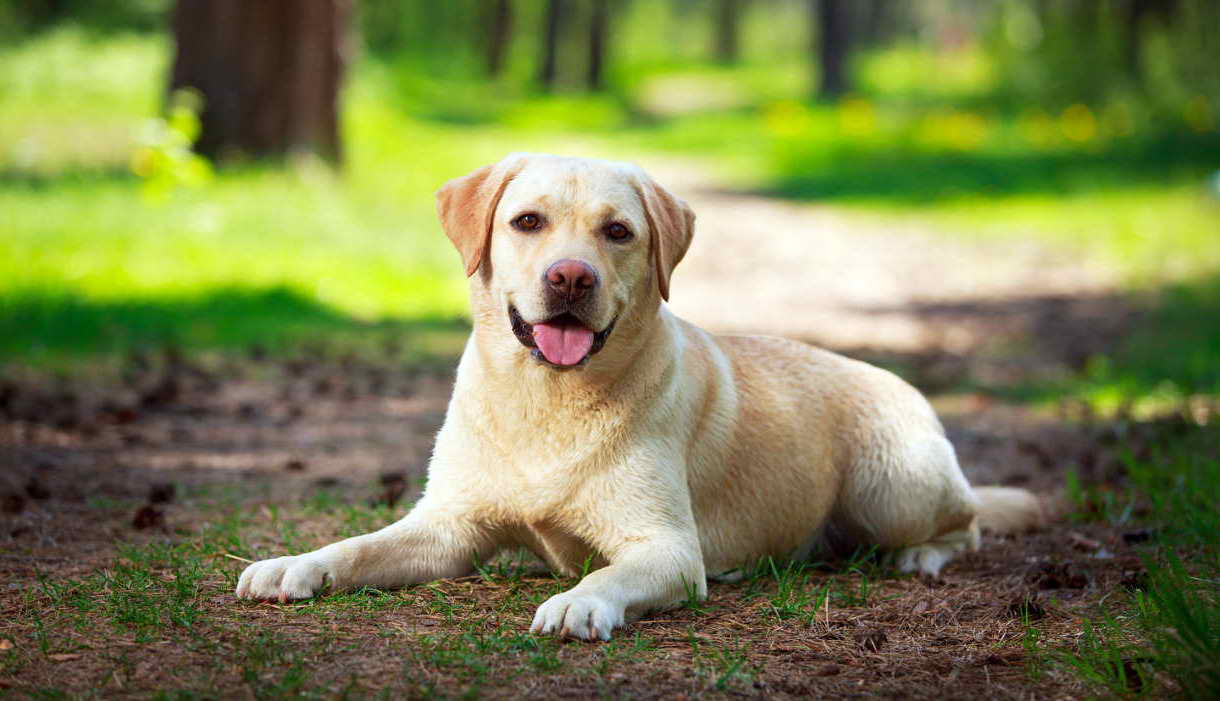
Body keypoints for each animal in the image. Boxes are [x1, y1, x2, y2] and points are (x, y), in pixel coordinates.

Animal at [237, 153, 1039, 643]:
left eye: (617, 232)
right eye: (526, 221)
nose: (570, 276)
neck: (547, 399)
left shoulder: (668, 547)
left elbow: (608, 569)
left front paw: (579, 599)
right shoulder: (448, 527)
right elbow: (358, 544)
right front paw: (295, 563)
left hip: (891, 487)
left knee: (966, 524)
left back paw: (922, 555)